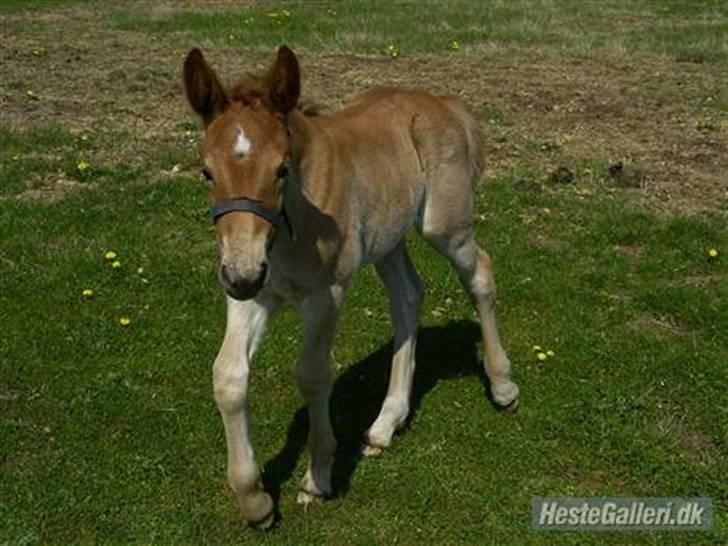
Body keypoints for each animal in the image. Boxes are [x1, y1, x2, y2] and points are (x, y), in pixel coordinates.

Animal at [185, 45, 520, 528]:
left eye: (281, 169)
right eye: (207, 172)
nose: (240, 275)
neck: (291, 228)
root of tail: (443, 103)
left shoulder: (327, 293)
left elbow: (312, 373)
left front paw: (319, 475)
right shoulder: (257, 294)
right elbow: (228, 376)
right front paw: (255, 500)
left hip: (445, 225)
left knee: (479, 276)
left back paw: (503, 386)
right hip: (387, 237)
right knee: (407, 295)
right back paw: (386, 422)